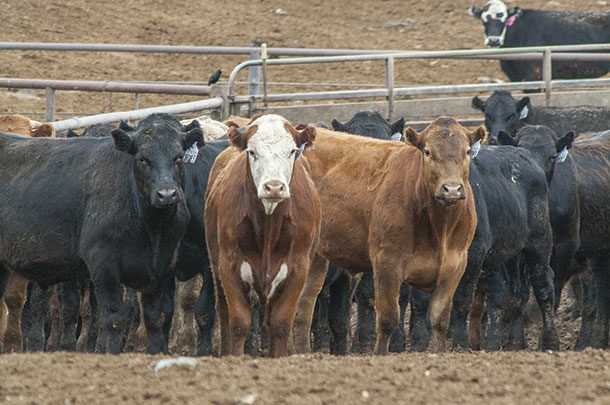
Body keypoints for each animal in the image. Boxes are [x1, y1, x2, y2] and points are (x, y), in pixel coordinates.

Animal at [0, 112, 202, 352]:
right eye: (142, 159)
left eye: (178, 157)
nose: (167, 194)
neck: (151, 228)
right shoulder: (102, 265)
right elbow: (113, 317)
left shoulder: (161, 267)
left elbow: (156, 318)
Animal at [204, 113, 318, 356]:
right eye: (252, 151)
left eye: (292, 151)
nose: (274, 187)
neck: (268, 227)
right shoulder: (229, 265)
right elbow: (238, 323)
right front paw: (235, 357)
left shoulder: (298, 268)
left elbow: (281, 323)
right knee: (223, 312)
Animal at [292, 117, 482, 354]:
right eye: (427, 152)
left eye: (467, 151)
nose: (452, 189)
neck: (439, 228)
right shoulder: (387, 262)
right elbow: (388, 319)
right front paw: (380, 354)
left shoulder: (456, 265)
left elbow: (440, 321)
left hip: (316, 257)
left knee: (303, 308)